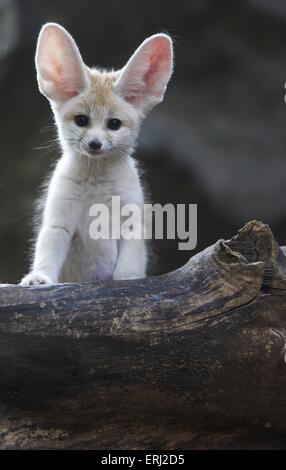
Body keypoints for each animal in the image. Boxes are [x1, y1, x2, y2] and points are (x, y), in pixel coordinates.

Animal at [20, 23, 173, 286]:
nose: (95, 144)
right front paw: (39, 277)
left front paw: (127, 281)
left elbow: (128, 267)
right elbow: (47, 251)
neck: (96, 186)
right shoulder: (58, 221)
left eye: (114, 124)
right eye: (82, 120)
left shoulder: (131, 222)